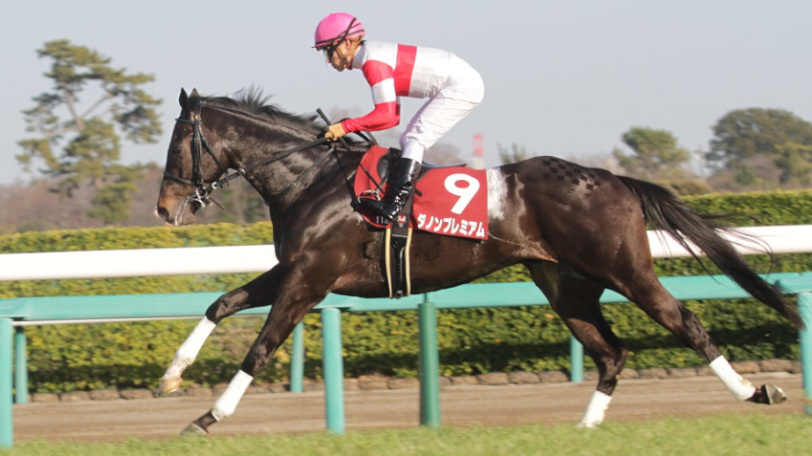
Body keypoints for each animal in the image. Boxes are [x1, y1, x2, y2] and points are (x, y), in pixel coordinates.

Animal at [155, 88, 802, 435]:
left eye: (179, 142)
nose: (164, 207)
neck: (311, 179)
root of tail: (613, 178)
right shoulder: (293, 269)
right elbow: (220, 303)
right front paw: (171, 377)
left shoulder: (310, 279)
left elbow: (260, 346)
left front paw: (208, 417)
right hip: (565, 285)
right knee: (611, 351)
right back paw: (585, 428)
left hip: (624, 268)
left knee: (683, 322)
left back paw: (755, 393)